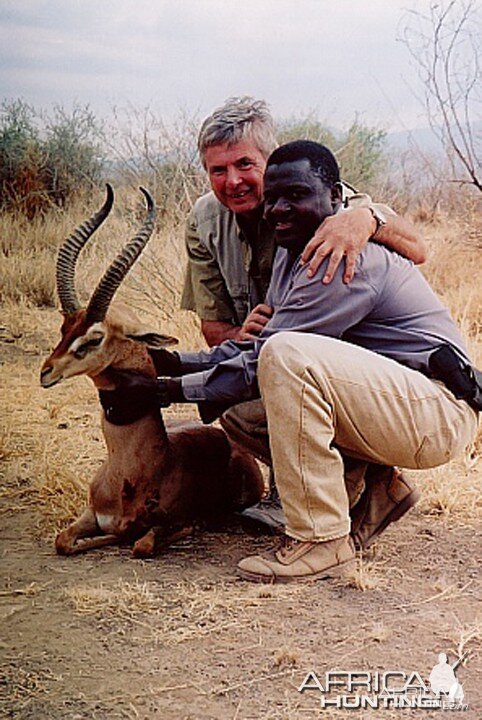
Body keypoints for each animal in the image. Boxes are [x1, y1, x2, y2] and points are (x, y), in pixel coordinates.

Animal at [40, 186, 264, 556]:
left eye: (95, 337)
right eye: (64, 328)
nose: (47, 371)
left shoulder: (161, 525)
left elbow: (142, 543)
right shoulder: (89, 513)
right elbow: (63, 541)